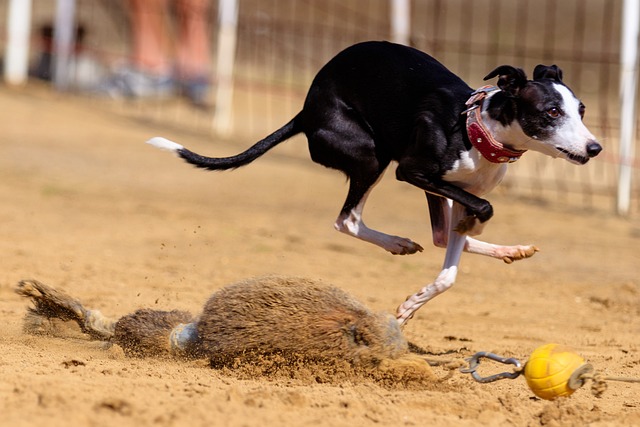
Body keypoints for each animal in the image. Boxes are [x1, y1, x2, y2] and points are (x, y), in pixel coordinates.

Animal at [149, 42, 600, 324]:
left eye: (580, 109)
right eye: (551, 111)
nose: (595, 148)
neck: (477, 127)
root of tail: (305, 111)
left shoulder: (455, 191)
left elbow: (451, 264)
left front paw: (415, 303)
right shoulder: (414, 172)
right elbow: (479, 212)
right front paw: (412, 302)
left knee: (439, 234)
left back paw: (508, 249)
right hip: (372, 156)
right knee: (346, 220)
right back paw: (398, 243)